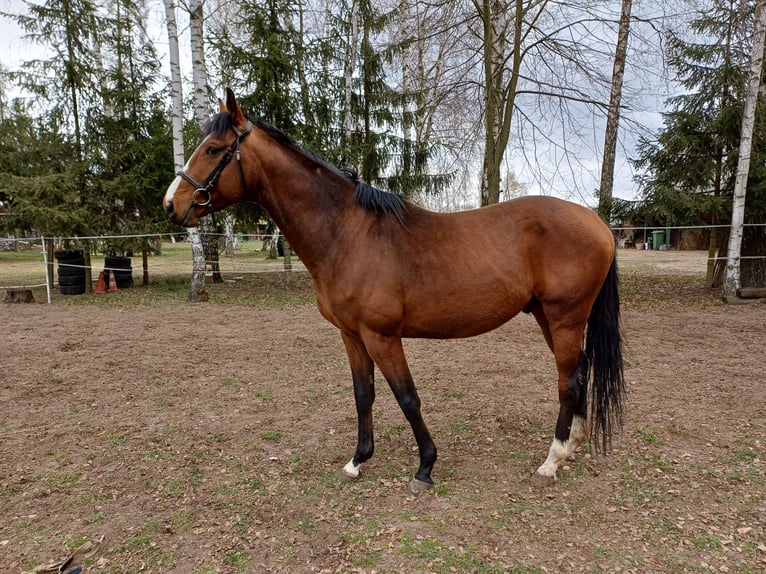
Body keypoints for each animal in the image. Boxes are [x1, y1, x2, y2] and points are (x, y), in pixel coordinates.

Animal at [164, 88, 625, 493]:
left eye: (212, 149)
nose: (172, 204)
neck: (348, 234)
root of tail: (598, 223)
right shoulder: (351, 335)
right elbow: (363, 394)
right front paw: (357, 460)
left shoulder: (382, 336)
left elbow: (407, 397)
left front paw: (425, 468)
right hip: (548, 316)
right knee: (579, 371)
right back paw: (572, 445)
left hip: (564, 317)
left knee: (568, 380)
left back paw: (551, 460)